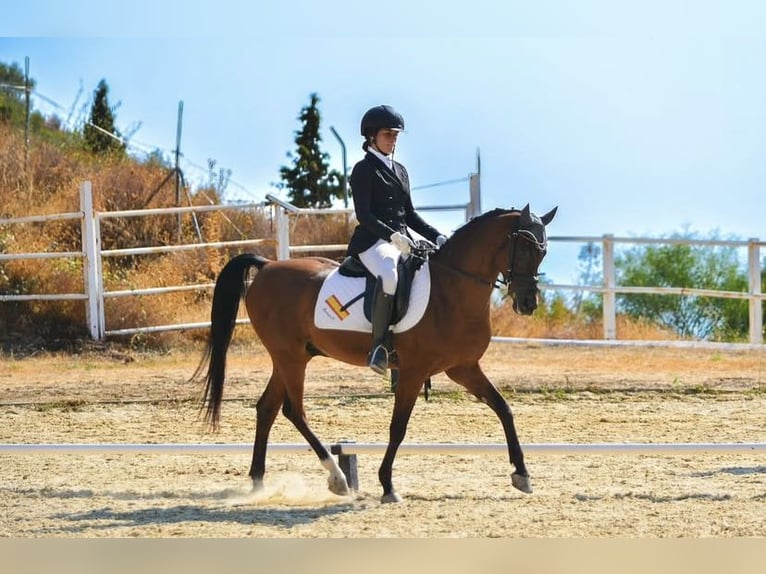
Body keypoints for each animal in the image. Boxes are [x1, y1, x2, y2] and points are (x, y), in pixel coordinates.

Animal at [192, 204, 560, 504]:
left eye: (544, 252)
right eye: (525, 248)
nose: (528, 303)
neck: (452, 289)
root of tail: (268, 266)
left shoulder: (463, 367)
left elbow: (504, 409)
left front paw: (522, 475)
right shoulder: (414, 371)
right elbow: (398, 428)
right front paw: (387, 486)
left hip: (292, 357)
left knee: (267, 408)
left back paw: (258, 481)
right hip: (290, 357)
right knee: (294, 410)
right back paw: (338, 478)